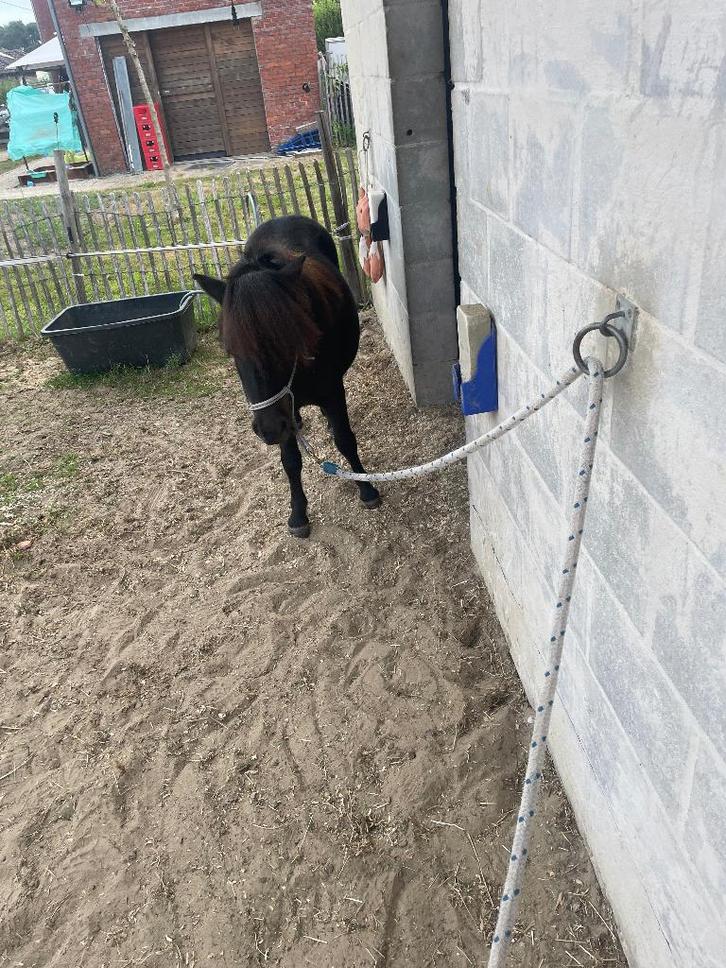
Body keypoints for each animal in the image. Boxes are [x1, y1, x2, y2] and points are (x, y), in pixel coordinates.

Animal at [194, 215, 381, 539]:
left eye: (288, 339)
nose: (267, 429)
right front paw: (298, 513)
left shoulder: (332, 392)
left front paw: (366, 487)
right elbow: (290, 460)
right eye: (230, 350)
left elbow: (345, 439)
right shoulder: (282, 411)